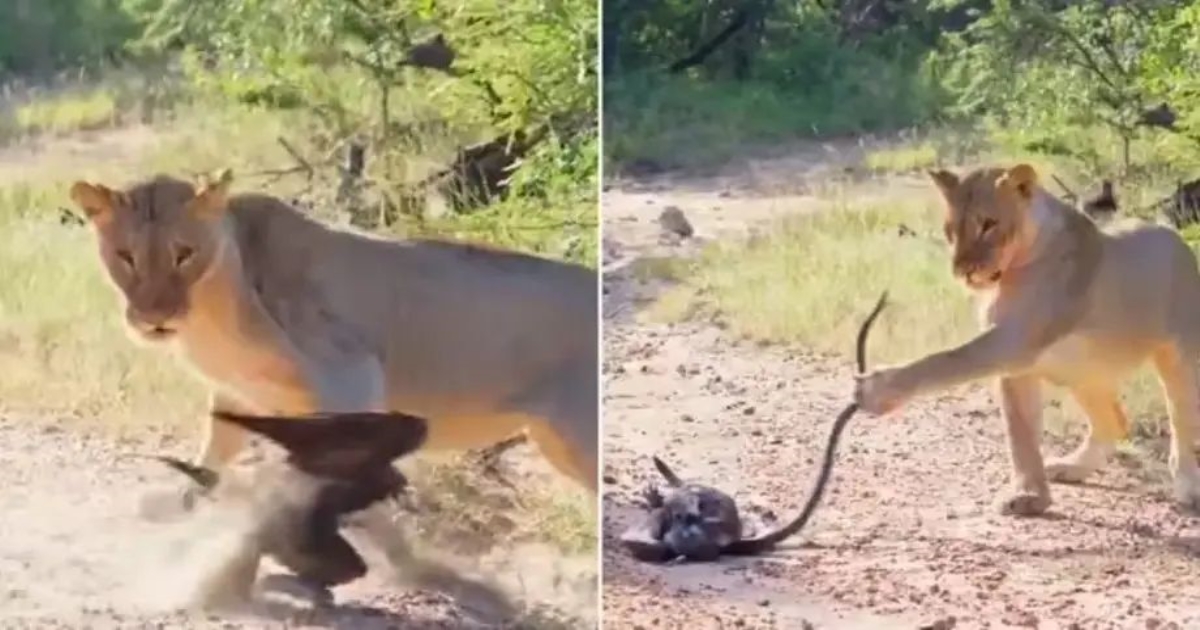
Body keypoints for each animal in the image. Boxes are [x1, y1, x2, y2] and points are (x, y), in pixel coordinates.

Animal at [68, 170, 598, 514]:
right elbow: (212, 458)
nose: (155, 319)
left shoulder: (353, 376)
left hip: (578, 437)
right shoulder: (239, 395)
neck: (212, 315)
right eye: (125, 257)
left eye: (184, 254)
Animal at [854, 164, 1200, 516]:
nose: (963, 270)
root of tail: (1174, 235)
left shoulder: (1015, 339)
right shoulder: (1015, 366)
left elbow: (945, 360)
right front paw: (1029, 495)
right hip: (1085, 373)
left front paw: (877, 389)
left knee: (1182, 425)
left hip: (1181, 358)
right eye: (951, 229)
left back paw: (1188, 487)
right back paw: (1072, 467)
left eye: (988, 224)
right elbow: (1019, 434)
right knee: (1115, 422)